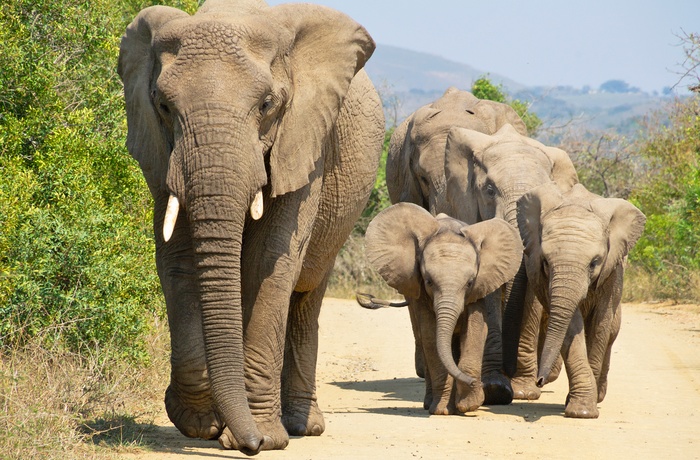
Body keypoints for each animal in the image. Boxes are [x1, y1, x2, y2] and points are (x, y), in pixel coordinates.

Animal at [118, 0, 386, 452]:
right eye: (163, 106)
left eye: (266, 105)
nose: (251, 445)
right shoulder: (160, 154)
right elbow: (178, 262)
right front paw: (200, 424)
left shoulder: (304, 141)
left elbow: (267, 264)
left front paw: (265, 435)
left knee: (307, 295)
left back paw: (301, 426)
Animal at [364, 203, 524, 416]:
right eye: (429, 281)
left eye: (470, 282)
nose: (474, 383)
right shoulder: (420, 293)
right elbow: (431, 336)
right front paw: (442, 410)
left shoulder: (479, 289)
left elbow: (476, 330)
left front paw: (469, 404)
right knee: (424, 341)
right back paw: (429, 403)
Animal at [442, 123, 580, 398]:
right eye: (489, 190)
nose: (509, 368)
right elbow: (489, 290)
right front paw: (495, 387)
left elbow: (532, 294)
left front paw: (523, 391)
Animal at [516, 182, 648, 416]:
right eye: (546, 262)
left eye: (594, 262)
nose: (539, 381)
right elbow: (570, 324)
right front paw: (581, 409)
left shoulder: (612, 272)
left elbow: (600, 325)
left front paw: (586, 406)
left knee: (611, 333)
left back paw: (600, 394)